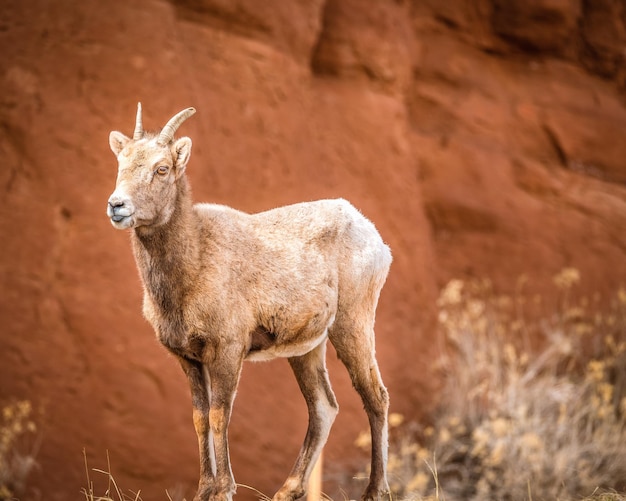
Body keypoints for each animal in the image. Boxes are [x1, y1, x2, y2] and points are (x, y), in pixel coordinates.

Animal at [107, 102, 390, 500]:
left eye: (161, 168)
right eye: (121, 164)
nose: (117, 206)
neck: (194, 264)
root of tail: (373, 236)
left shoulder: (227, 350)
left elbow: (219, 415)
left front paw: (224, 489)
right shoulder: (187, 358)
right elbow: (199, 418)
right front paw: (204, 490)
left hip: (353, 326)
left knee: (375, 396)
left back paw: (374, 491)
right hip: (306, 349)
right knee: (323, 407)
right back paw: (287, 491)